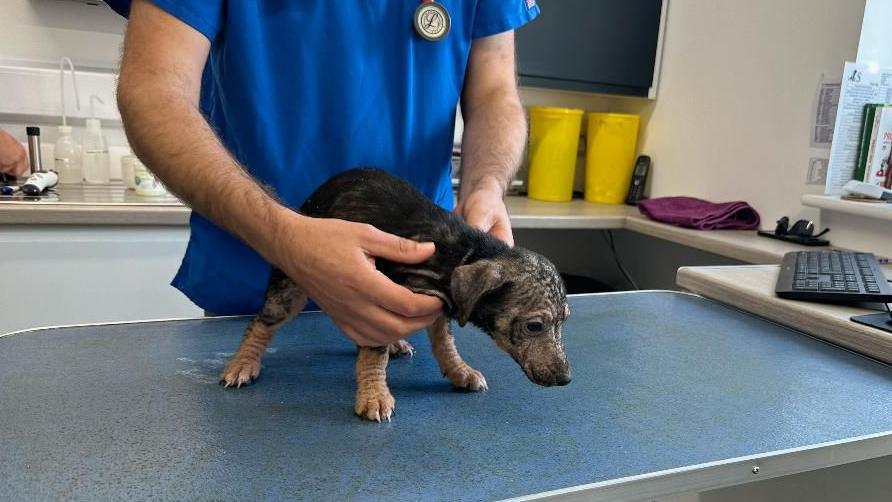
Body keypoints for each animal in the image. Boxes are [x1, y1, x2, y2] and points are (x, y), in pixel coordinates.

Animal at [221, 170, 572, 424]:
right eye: (534, 326)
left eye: (564, 322)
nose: (566, 379)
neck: (464, 253)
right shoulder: (383, 294)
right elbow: (373, 352)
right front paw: (374, 394)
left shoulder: (440, 307)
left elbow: (444, 343)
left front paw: (459, 371)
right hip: (291, 283)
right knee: (262, 322)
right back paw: (243, 362)